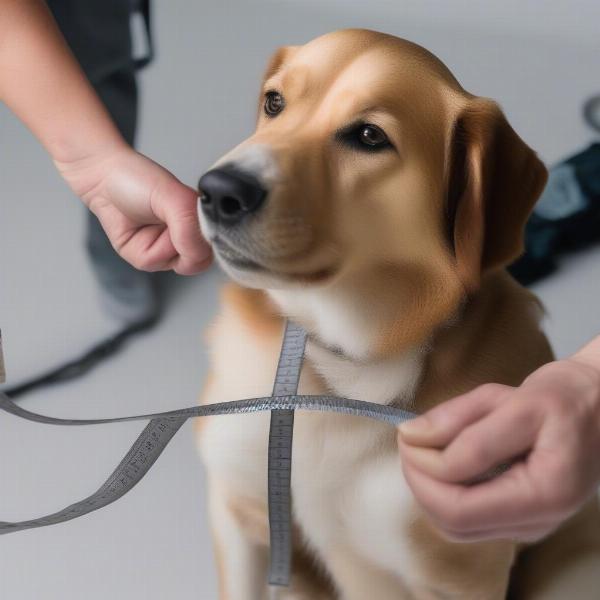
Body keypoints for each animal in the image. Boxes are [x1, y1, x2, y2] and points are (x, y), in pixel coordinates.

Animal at [195, 29, 600, 600]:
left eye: (369, 136)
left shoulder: (455, 572)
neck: (338, 365)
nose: (217, 190)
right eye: (274, 102)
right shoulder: (238, 510)